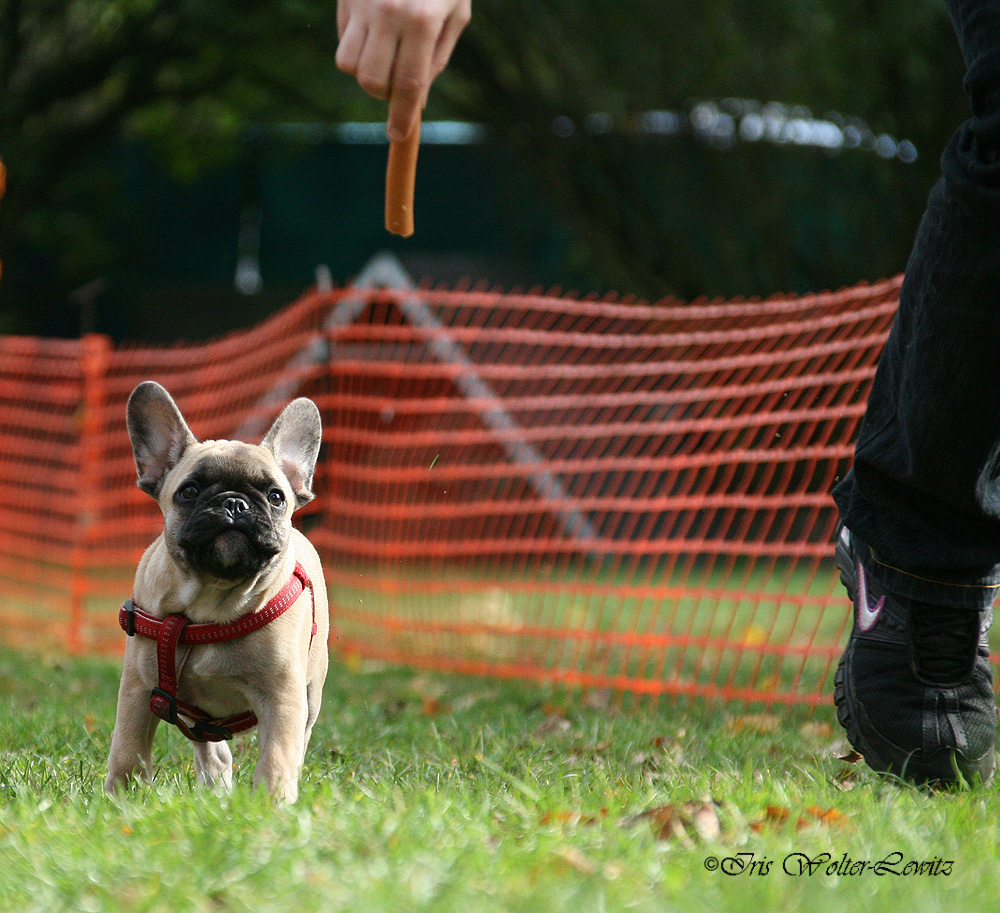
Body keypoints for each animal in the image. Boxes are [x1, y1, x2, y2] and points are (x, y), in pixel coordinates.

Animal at [107, 382, 330, 800]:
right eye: (189, 491)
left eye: (276, 496)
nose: (234, 503)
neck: (212, 601)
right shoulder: (138, 691)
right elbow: (128, 751)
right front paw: (121, 800)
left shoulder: (283, 697)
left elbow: (277, 755)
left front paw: (273, 801)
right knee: (211, 749)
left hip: (311, 695)